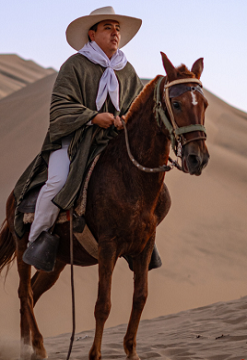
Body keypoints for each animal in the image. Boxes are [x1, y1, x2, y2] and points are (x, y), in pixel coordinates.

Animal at [0, 53, 208, 360]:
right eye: (177, 103)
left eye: (204, 104)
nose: (198, 159)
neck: (131, 178)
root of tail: (14, 194)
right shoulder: (108, 247)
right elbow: (103, 304)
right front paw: (95, 355)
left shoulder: (145, 245)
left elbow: (140, 297)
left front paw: (131, 351)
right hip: (23, 246)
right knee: (24, 293)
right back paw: (36, 345)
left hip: (56, 261)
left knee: (31, 294)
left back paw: (28, 346)